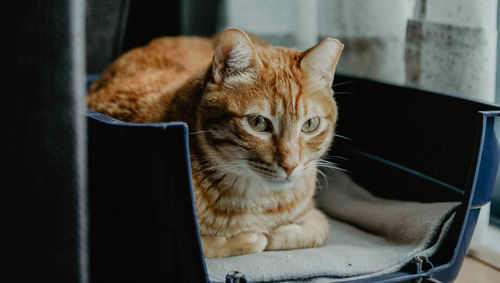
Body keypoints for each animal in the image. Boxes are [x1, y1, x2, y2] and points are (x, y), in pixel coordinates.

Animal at [87, 27, 344, 258]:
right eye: (258, 123)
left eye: (310, 124)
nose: (290, 166)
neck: (257, 200)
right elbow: (209, 246)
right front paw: (250, 239)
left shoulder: (314, 216)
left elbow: (315, 231)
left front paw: (274, 234)